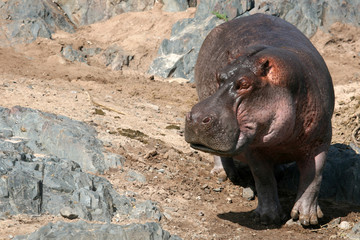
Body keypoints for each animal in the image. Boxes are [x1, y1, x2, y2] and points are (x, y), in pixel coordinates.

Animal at [186, 13, 334, 227]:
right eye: (218, 76)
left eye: (244, 84)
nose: (196, 117)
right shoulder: (254, 146)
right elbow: (263, 177)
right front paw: (268, 217)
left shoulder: (321, 139)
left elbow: (315, 176)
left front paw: (307, 218)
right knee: (219, 156)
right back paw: (224, 175)